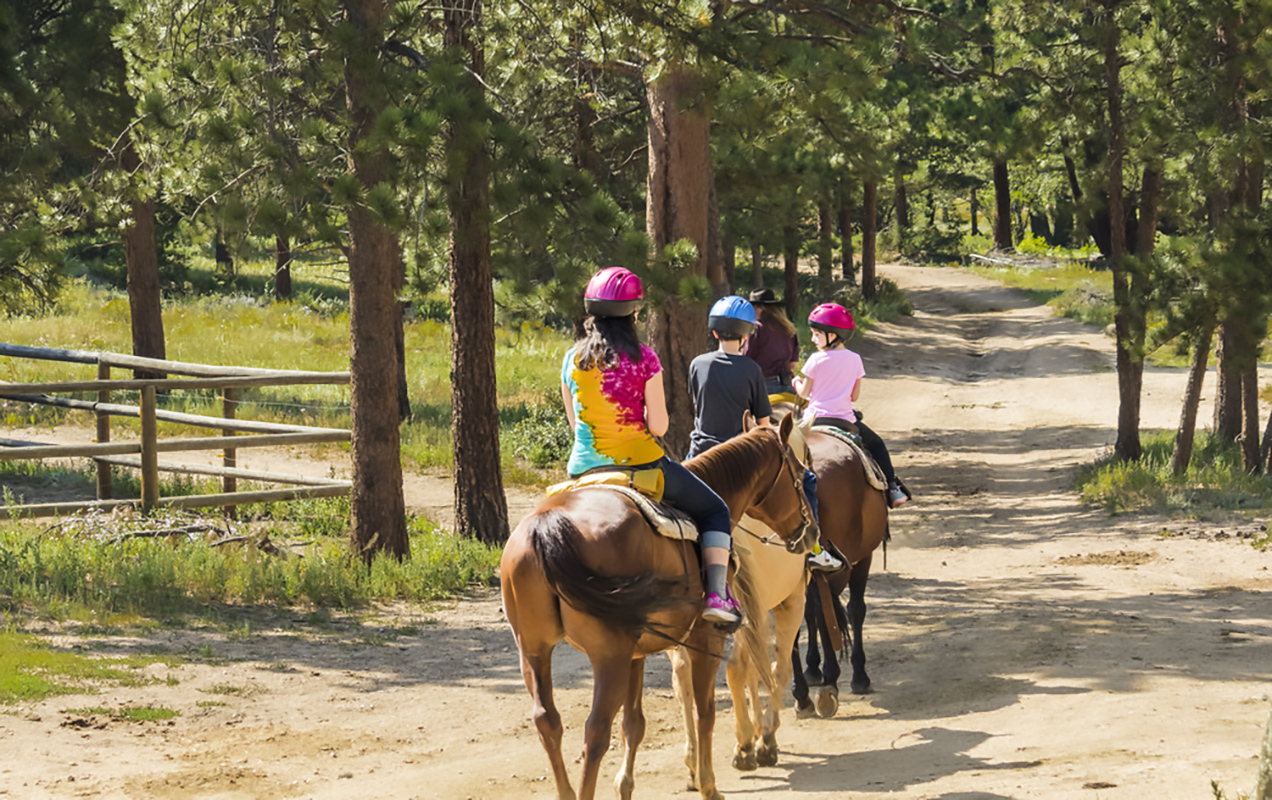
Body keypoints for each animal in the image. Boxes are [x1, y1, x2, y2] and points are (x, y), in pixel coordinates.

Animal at [498, 412, 814, 798]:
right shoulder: (707, 638)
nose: (810, 532)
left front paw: (626, 786)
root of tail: (546, 526)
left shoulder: (638, 653)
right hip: (608, 657)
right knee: (595, 731)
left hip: (535, 650)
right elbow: (705, 711)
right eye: (800, 472)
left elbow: (634, 723)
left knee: (549, 722)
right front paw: (709, 783)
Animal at [788, 424, 890, 717]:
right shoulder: (861, 558)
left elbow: (810, 613)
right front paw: (858, 675)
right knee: (828, 611)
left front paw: (812, 669)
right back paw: (829, 683)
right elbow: (855, 609)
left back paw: (803, 695)